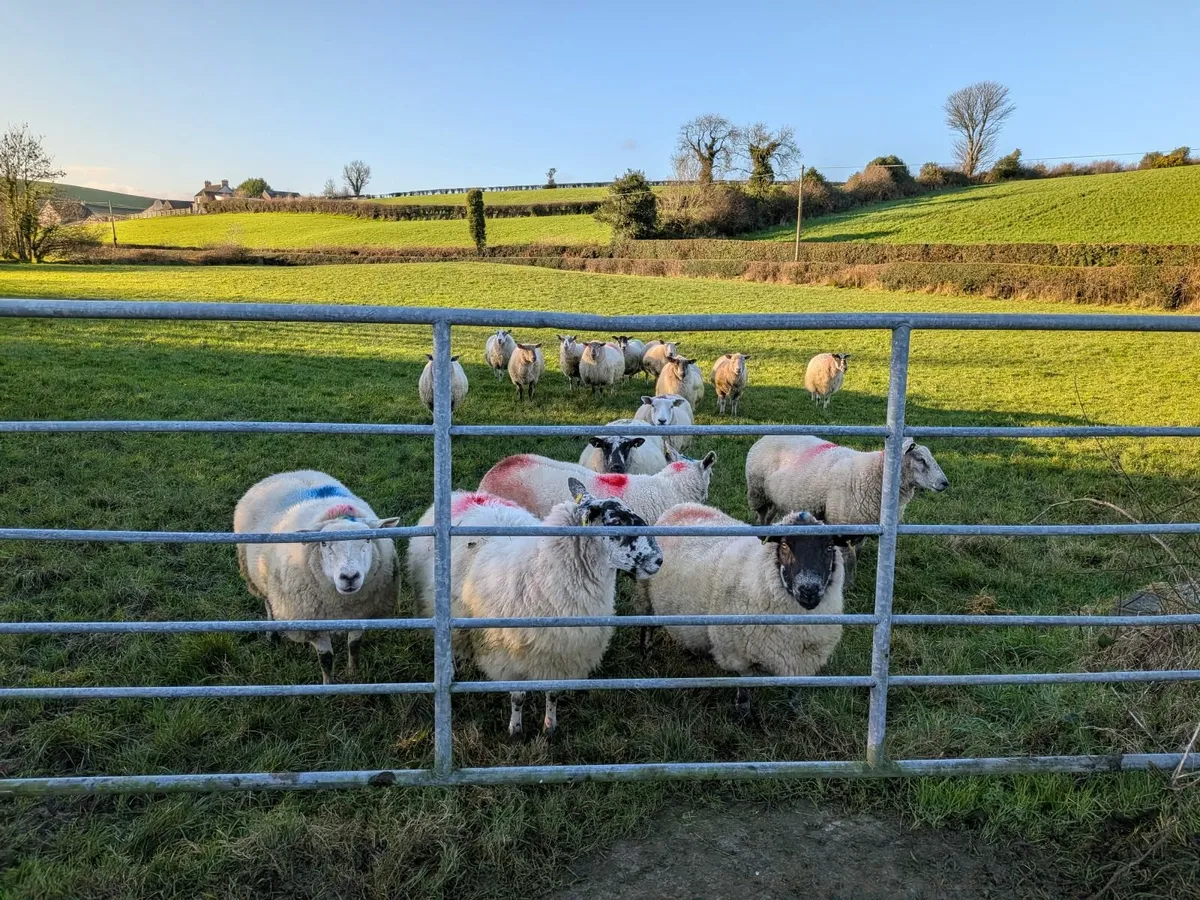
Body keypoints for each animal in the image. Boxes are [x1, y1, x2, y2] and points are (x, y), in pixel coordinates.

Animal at [234, 470, 401, 684]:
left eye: (367, 539)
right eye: (323, 543)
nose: (349, 576)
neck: (342, 604)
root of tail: (286, 473)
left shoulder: (362, 613)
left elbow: (354, 646)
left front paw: (353, 674)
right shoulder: (312, 625)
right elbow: (326, 659)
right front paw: (328, 685)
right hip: (256, 574)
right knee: (268, 604)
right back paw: (272, 636)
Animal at [408, 480, 662, 735]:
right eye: (616, 522)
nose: (659, 559)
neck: (542, 574)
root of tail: (463, 495)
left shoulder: (560, 656)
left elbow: (553, 694)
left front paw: (549, 727)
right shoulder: (510, 657)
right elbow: (518, 697)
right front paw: (516, 730)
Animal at [640, 504, 850, 718]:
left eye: (830, 547)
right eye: (784, 545)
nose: (809, 590)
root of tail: (681, 506)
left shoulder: (800, 660)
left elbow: (794, 692)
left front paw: (797, 713)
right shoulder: (737, 654)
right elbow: (744, 687)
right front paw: (744, 714)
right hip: (645, 594)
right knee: (646, 624)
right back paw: (646, 651)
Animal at [745, 435, 949, 526]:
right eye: (921, 459)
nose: (945, 483)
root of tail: (766, 436)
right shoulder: (841, 520)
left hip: (774, 497)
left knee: (770, 514)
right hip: (757, 491)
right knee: (761, 515)